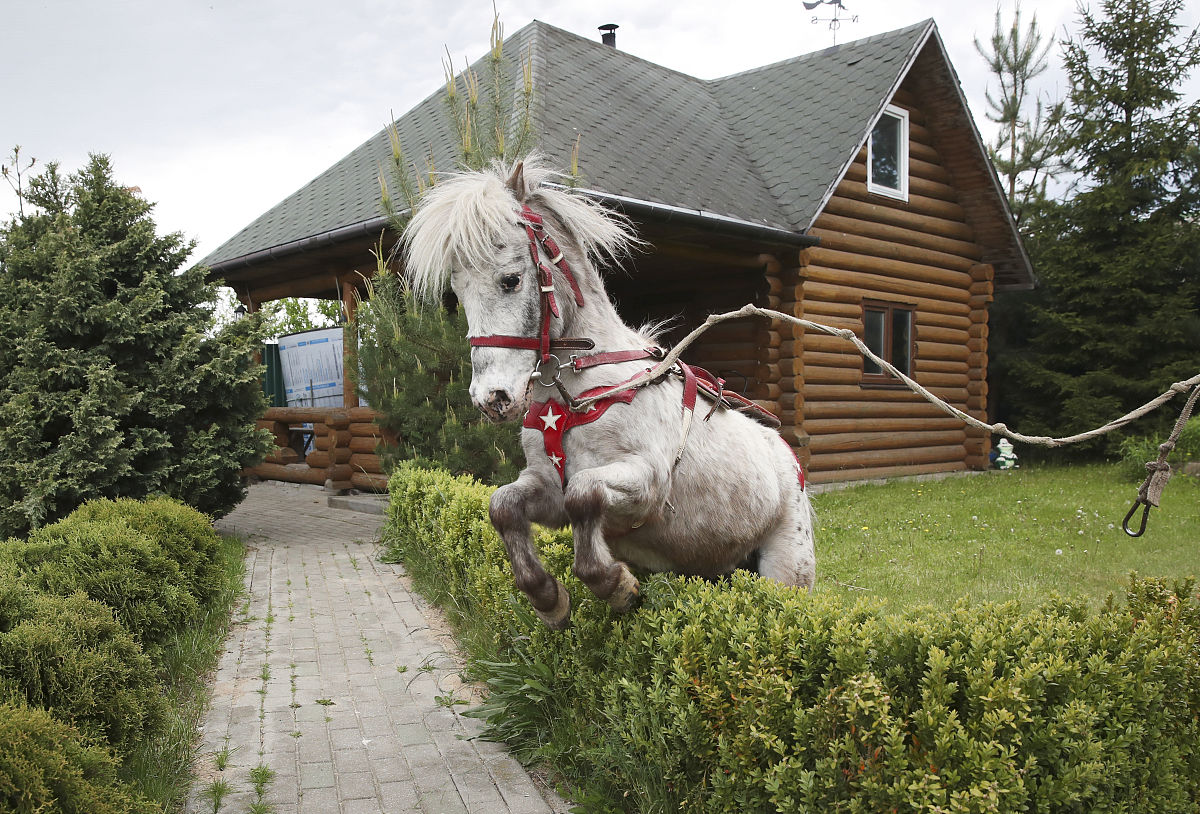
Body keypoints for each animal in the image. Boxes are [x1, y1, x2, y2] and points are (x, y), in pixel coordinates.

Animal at [402, 155, 815, 629]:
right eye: (457, 291)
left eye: (510, 280)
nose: (493, 399)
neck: (578, 396)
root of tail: (789, 460)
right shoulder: (547, 490)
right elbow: (502, 505)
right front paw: (548, 599)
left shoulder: (645, 485)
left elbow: (585, 496)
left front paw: (616, 586)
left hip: (787, 572)